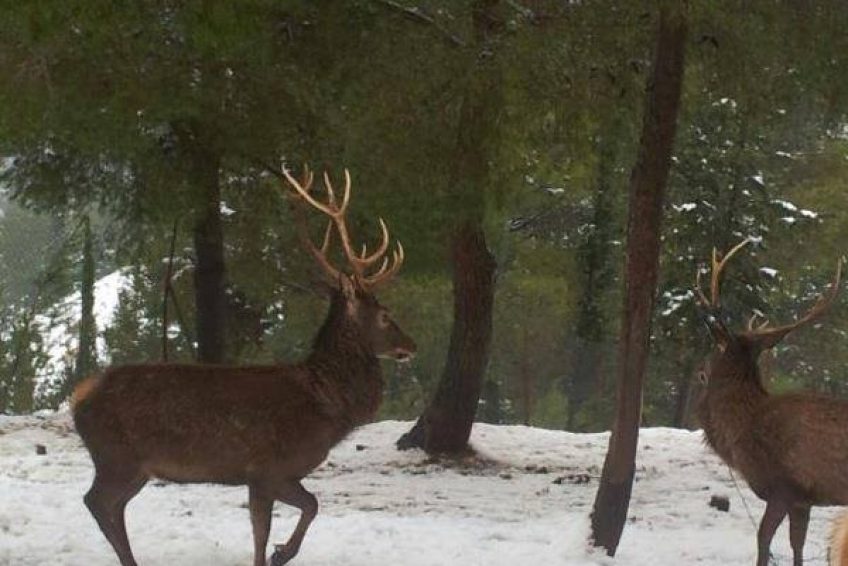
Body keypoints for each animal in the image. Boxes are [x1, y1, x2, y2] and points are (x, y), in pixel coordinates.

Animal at [71, 165, 416, 566]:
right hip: (116, 456)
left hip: (135, 467)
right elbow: (295, 515)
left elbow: (274, 524)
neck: (328, 405)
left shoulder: (260, 477)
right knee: (96, 501)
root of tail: (78, 395)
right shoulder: (268, 469)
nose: (411, 346)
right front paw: (281, 553)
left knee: (113, 506)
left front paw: (277, 553)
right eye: (384, 314)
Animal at [694, 239, 846, 566]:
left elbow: (763, 541)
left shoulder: (782, 488)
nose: (700, 371)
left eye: (713, 351)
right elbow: (797, 545)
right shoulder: (803, 500)